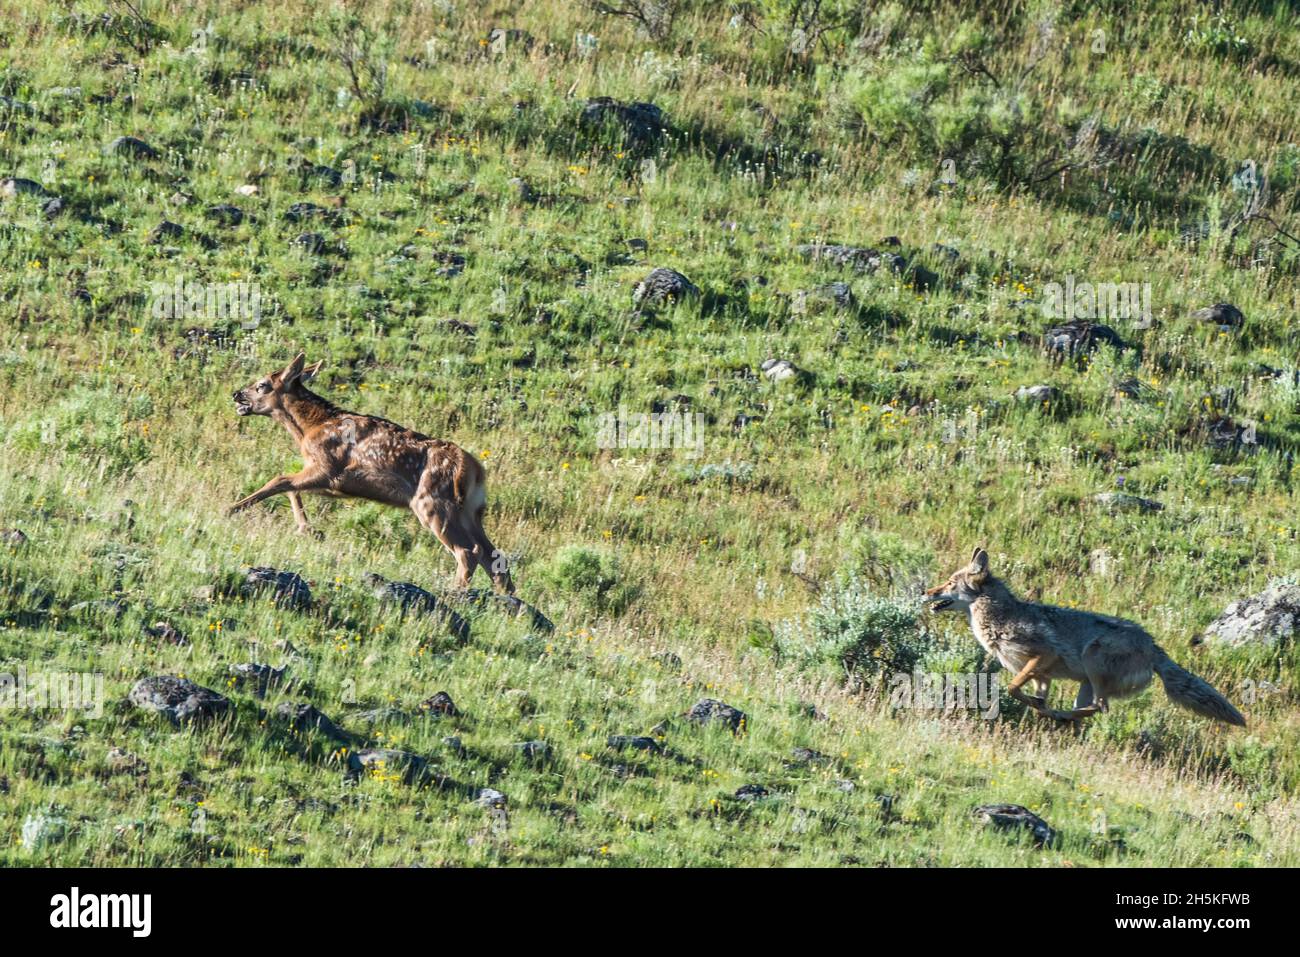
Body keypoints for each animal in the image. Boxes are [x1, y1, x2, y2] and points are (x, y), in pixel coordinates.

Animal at [231, 351, 514, 590]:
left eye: (261, 385)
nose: (236, 394)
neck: (310, 427)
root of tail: (475, 470)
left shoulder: (328, 467)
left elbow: (279, 480)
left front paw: (232, 509)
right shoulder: (334, 483)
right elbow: (290, 487)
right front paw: (308, 529)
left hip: (433, 503)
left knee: (468, 552)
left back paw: (456, 592)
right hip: (470, 510)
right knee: (493, 555)